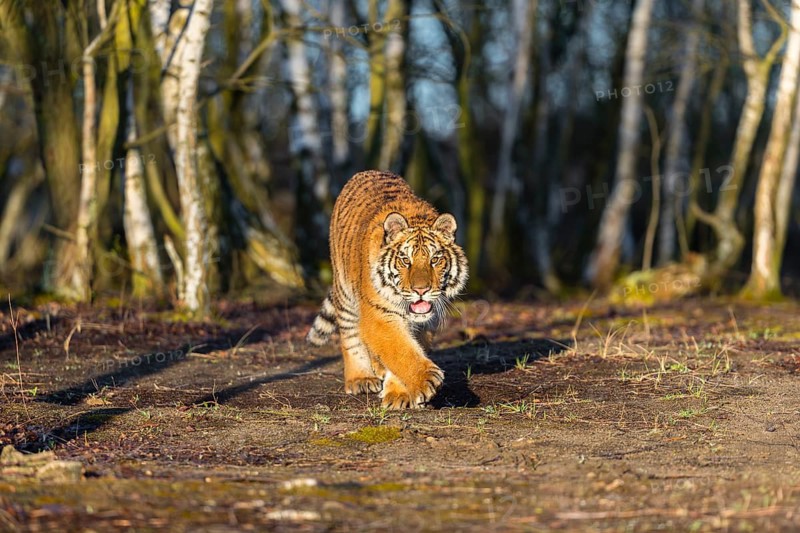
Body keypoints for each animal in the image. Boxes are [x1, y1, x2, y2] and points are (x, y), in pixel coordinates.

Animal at [306, 170, 468, 409]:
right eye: (405, 260)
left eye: (435, 259)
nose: (421, 290)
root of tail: (366, 172)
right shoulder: (380, 314)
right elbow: (400, 350)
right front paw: (425, 380)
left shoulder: (426, 323)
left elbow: (408, 350)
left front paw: (400, 394)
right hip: (345, 296)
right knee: (350, 335)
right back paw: (360, 378)